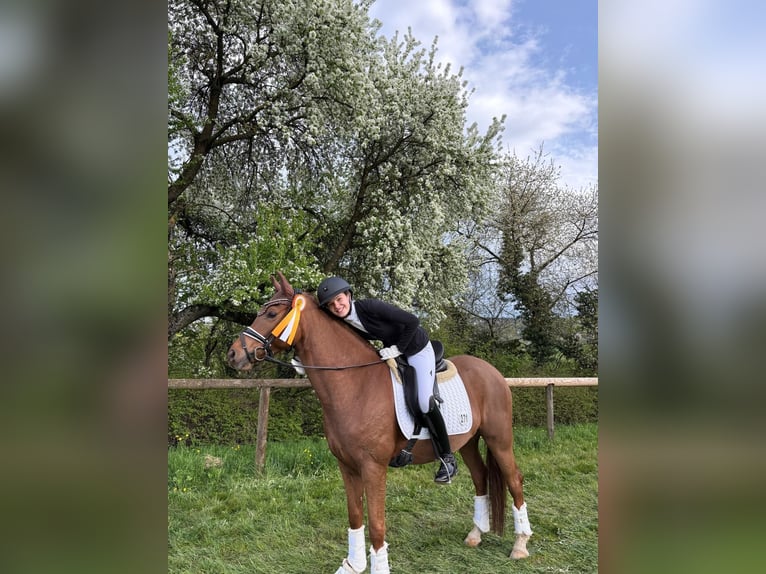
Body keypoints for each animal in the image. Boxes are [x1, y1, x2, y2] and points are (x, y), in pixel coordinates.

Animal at [227, 272, 532, 573]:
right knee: (480, 477)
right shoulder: (347, 466)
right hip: (467, 441)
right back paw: (476, 534)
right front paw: (353, 564)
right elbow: (355, 517)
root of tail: (491, 371)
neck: (355, 386)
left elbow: (376, 526)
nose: (233, 354)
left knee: (514, 479)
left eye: (271, 313)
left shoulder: (373, 468)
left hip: (499, 438)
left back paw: (520, 544)